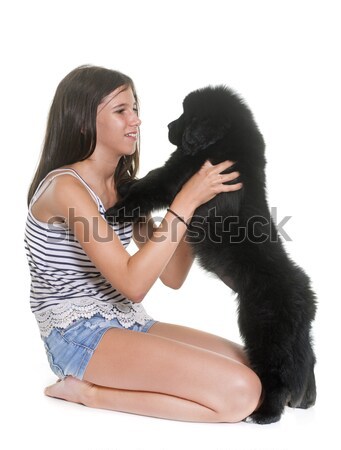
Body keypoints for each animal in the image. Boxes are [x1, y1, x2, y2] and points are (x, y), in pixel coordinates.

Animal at [105, 85, 316, 426]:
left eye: (187, 115)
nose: (167, 126)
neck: (228, 142)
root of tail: (304, 296)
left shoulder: (179, 174)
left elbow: (151, 183)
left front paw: (117, 206)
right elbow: (149, 180)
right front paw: (124, 184)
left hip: (264, 329)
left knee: (278, 373)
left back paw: (265, 414)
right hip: (295, 336)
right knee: (307, 361)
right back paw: (307, 399)